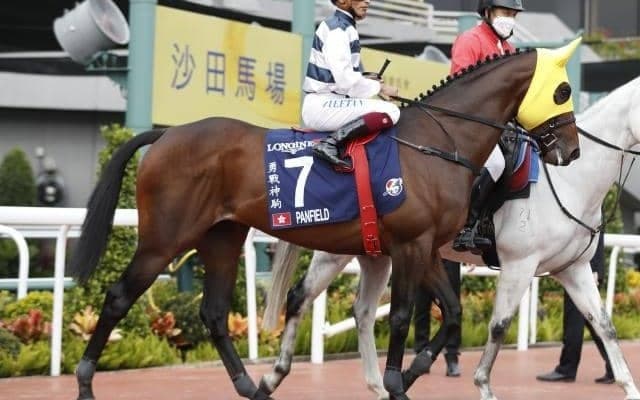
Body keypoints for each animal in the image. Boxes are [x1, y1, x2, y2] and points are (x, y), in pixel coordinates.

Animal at [69, 40, 582, 400]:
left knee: (214, 312)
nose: (572, 151)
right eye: (563, 91)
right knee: (118, 298)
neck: (438, 143)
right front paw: (396, 382)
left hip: (222, 236)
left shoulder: (426, 247)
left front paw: (411, 372)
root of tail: (166, 135)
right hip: (165, 239)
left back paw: (251, 385)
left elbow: (452, 312)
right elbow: (399, 317)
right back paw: (86, 382)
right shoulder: (410, 246)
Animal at [264, 75, 640, 400]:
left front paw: (628, 386)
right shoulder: (520, 265)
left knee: (363, 311)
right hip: (340, 250)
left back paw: (376, 384)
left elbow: (604, 326)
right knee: (302, 297)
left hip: (376, 254)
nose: (569, 153)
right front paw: (482, 383)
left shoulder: (573, 269)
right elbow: (499, 325)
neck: (568, 182)